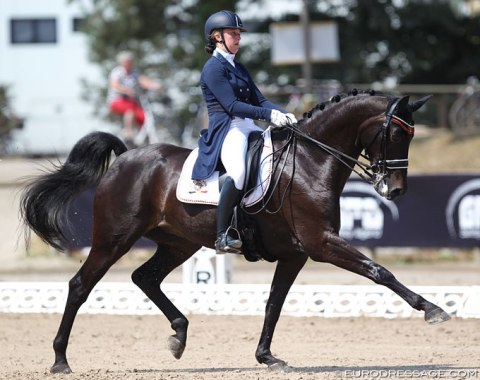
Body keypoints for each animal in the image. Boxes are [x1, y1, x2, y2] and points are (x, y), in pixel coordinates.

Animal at [19, 91, 450, 374]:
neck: (311, 160)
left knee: (145, 278)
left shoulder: (296, 254)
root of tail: (126, 157)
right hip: (114, 238)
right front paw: (433, 310)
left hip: (179, 243)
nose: (395, 190)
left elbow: (274, 303)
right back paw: (60, 360)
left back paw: (179, 335)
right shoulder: (320, 244)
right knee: (80, 286)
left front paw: (267, 357)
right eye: (396, 134)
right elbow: (380, 271)